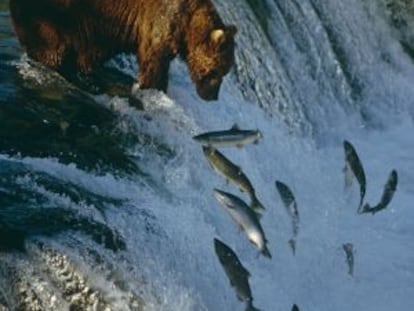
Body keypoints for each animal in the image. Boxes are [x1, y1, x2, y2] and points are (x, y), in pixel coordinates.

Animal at [8, 0, 236, 100]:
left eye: (225, 72)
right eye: (216, 71)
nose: (213, 96)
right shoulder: (160, 21)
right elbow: (154, 62)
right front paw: (156, 91)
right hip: (54, 13)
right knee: (54, 48)